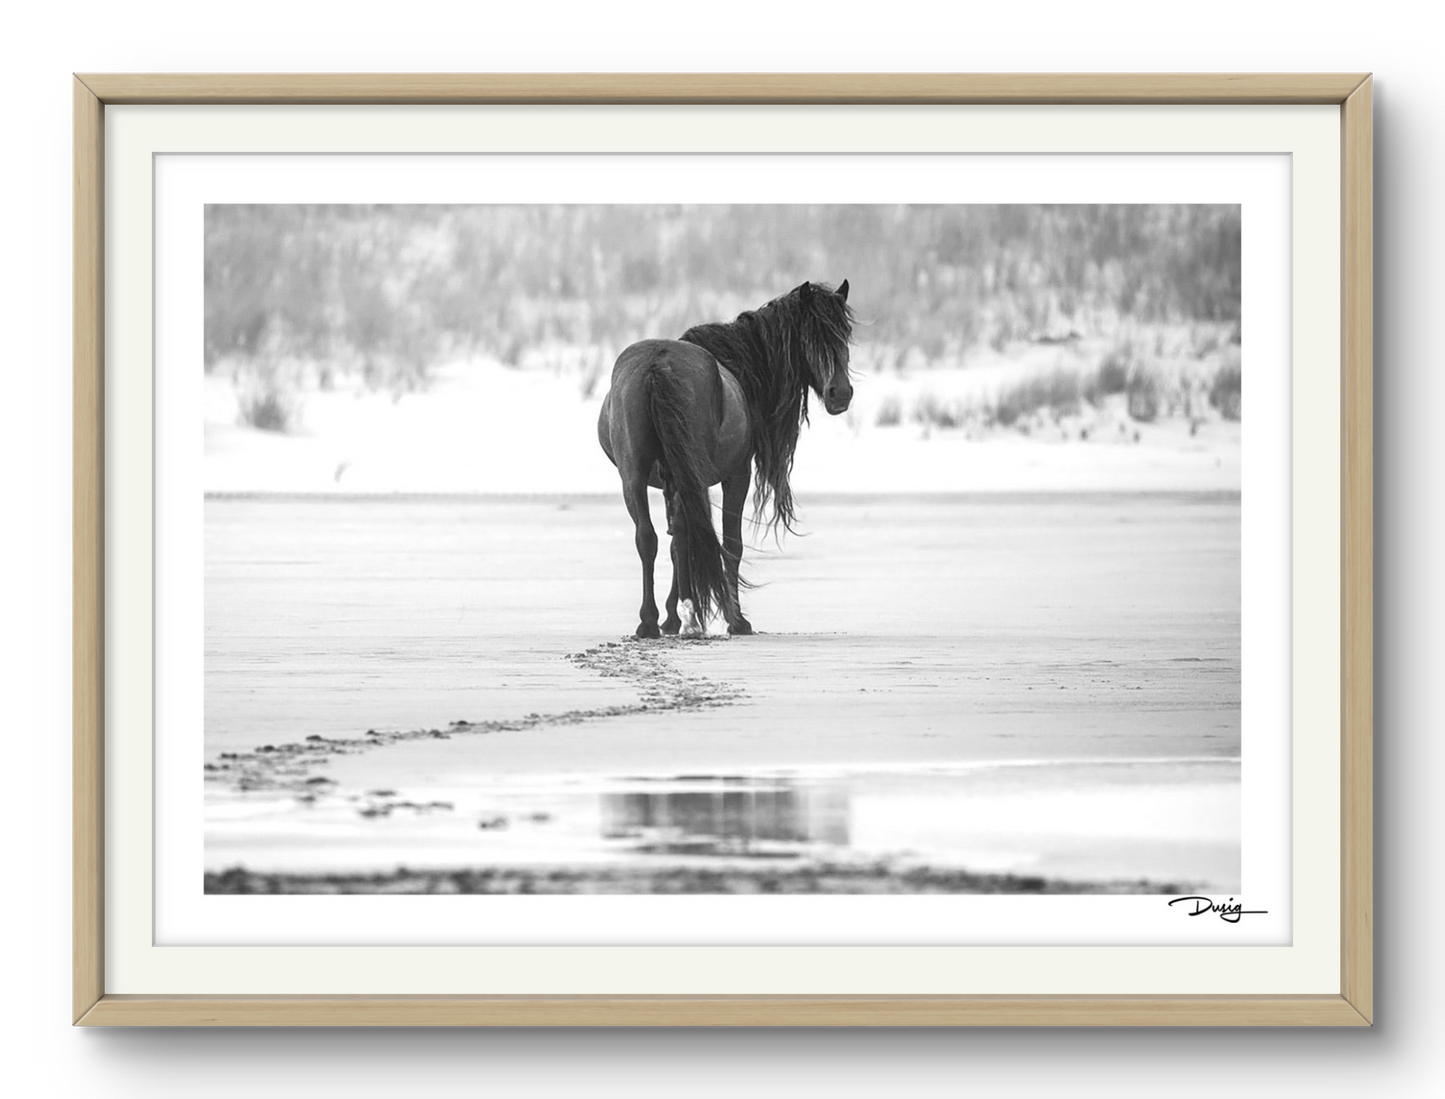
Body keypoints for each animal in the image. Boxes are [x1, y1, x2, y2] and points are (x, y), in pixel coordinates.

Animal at [601, 278, 855, 638]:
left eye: (844, 332)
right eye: (811, 334)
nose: (841, 393)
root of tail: (656, 367)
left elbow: (677, 543)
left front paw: (674, 616)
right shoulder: (736, 475)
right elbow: (730, 544)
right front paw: (735, 620)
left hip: (635, 477)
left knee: (648, 538)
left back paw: (650, 620)